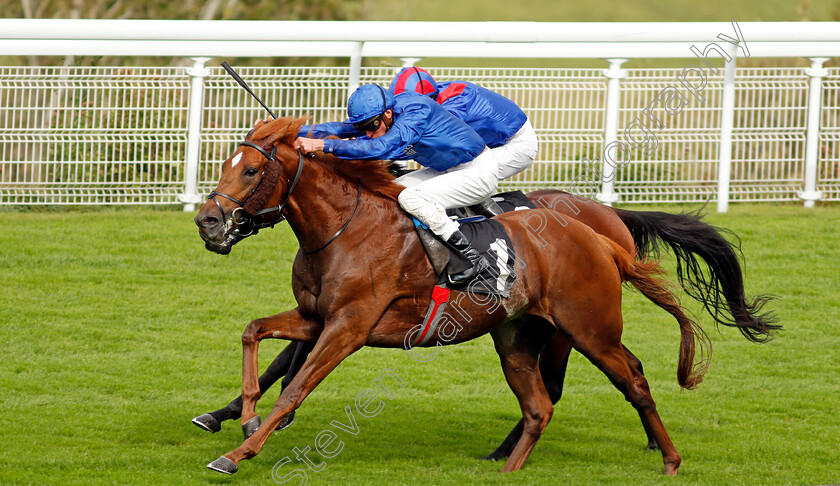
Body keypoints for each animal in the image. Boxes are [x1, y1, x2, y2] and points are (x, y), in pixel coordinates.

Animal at [194, 117, 776, 474]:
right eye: (226, 165)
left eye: (251, 170)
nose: (207, 221)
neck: (345, 228)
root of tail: (601, 234)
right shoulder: (315, 316)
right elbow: (254, 333)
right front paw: (242, 413)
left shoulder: (350, 326)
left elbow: (295, 387)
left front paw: (240, 450)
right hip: (519, 336)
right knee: (541, 402)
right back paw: (510, 463)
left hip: (589, 329)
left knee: (631, 379)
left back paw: (670, 458)